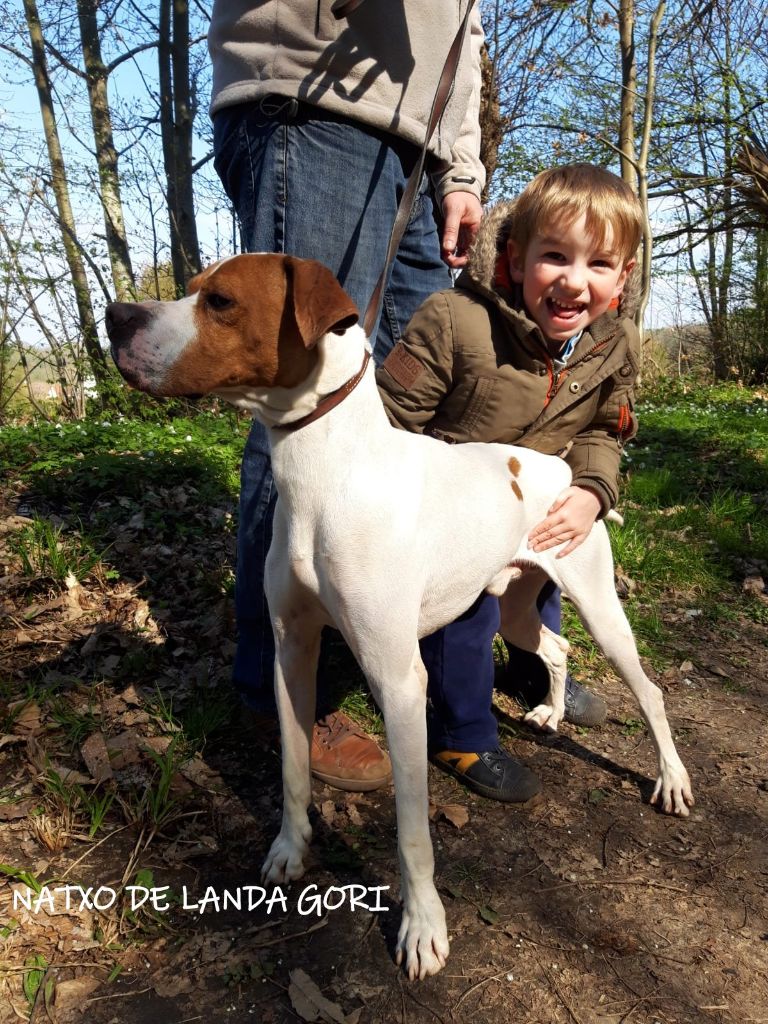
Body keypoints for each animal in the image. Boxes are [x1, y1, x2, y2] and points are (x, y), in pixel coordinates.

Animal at [109, 256, 696, 983]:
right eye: (192, 288)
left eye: (219, 301)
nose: (113, 317)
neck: (326, 475)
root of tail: (562, 469)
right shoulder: (292, 651)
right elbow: (293, 767)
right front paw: (289, 848)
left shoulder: (397, 678)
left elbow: (412, 830)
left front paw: (422, 927)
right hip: (514, 608)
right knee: (555, 649)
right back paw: (551, 712)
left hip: (597, 604)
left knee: (649, 691)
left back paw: (671, 779)